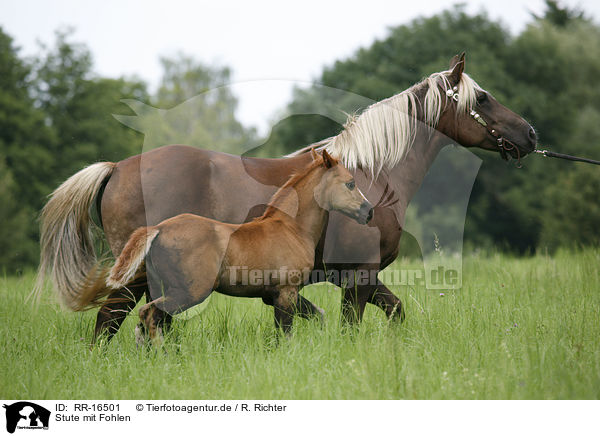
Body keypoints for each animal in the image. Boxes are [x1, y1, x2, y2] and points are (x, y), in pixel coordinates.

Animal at [105, 150, 372, 344]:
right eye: (350, 183)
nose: (368, 211)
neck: (291, 228)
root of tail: (158, 228)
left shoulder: (275, 294)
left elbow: (316, 316)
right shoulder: (286, 291)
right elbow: (286, 333)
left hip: (162, 287)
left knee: (146, 322)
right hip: (190, 292)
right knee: (150, 314)